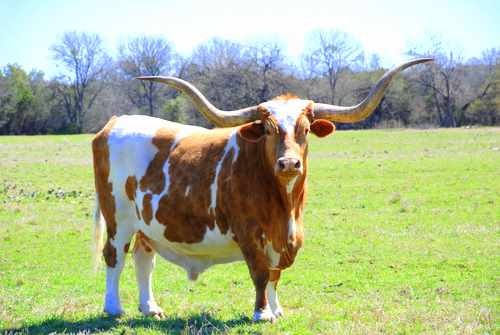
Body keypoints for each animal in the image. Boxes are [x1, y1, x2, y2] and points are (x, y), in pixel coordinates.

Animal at [92, 58, 432, 322]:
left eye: (305, 129)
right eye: (269, 129)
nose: (289, 163)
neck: (284, 207)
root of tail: (116, 122)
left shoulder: (283, 238)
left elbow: (274, 274)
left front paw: (277, 309)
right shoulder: (249, 233)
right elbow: (259, 272)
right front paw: (262, 312)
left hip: (146, 224)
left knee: (143, 259)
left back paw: (150, 308)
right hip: (118, 218)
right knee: (114, 257)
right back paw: (114, 308)